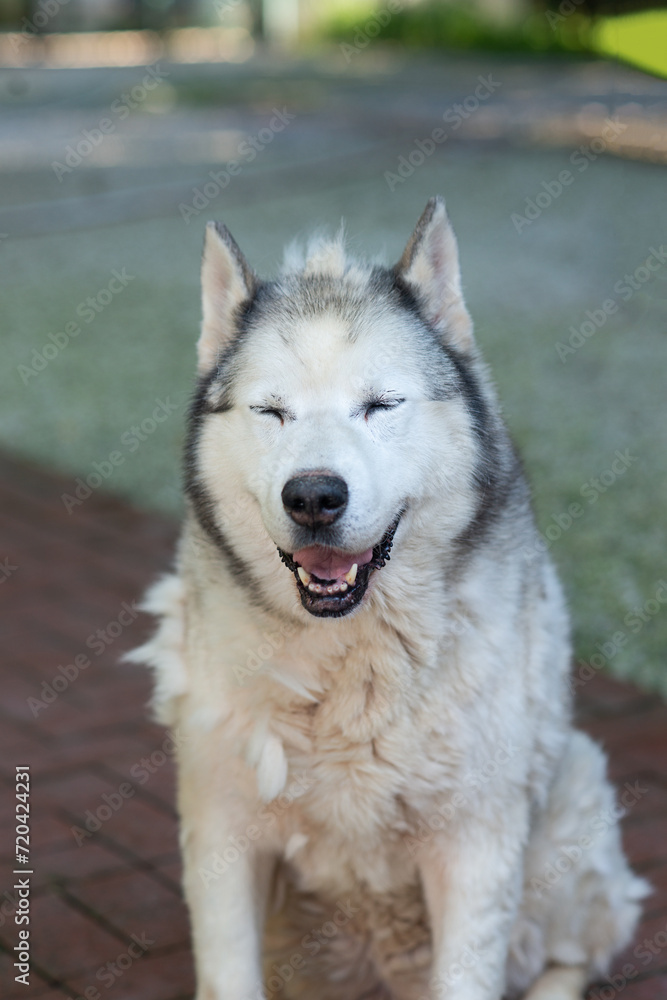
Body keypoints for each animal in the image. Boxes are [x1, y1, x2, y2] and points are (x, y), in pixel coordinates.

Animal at [130, 197, 648, 1000]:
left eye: (380, 405)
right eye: (270, 412)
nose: (314, 496)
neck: (349, 662)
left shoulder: (475, 849)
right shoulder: (222, 831)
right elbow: (228, 972)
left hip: (572, 808)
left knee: (575, 952)